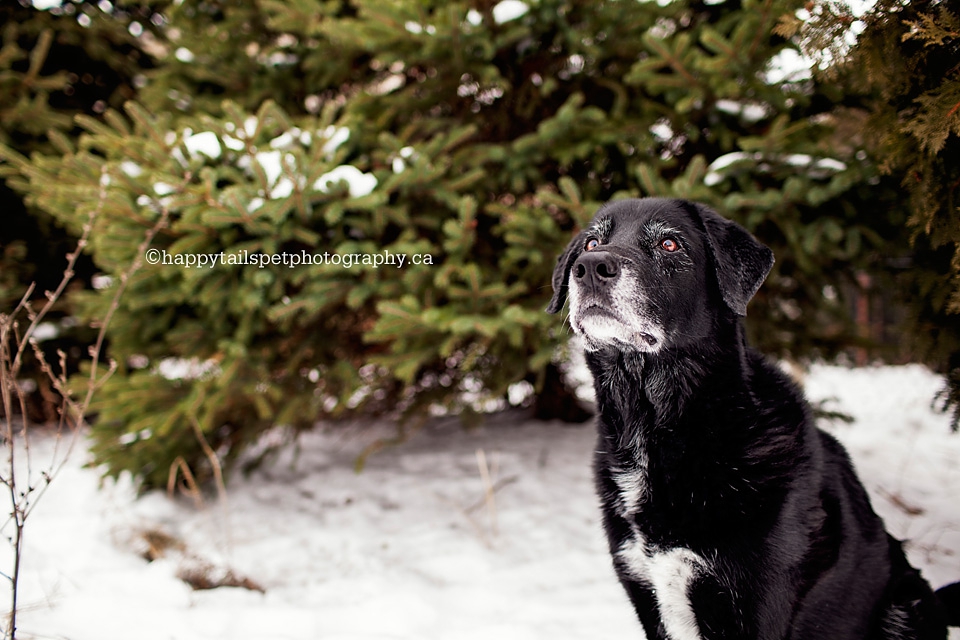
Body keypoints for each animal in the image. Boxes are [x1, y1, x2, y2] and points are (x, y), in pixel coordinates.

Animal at [544, 198, 956, 636]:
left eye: (670, 244)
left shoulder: (756, 601)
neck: (658, 425)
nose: (590, 266)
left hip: (904, 605)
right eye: (592, 241)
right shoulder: (645, 587)